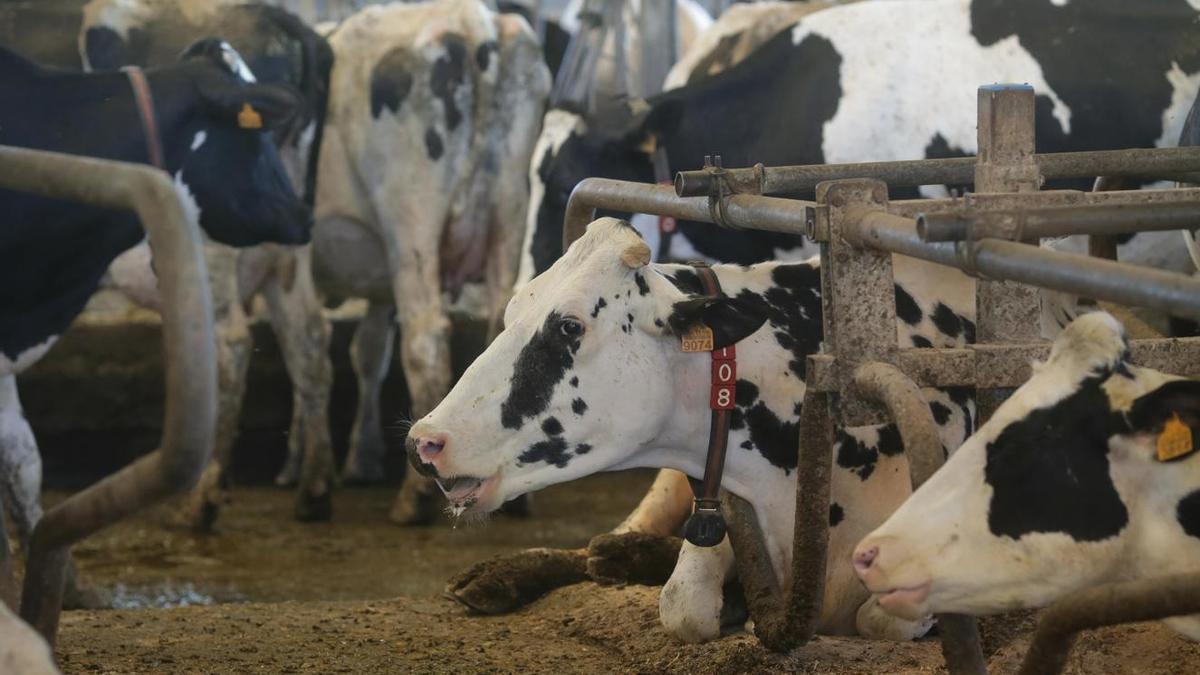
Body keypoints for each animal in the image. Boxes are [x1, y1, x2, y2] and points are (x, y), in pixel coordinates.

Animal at [79, 0, 339, 526]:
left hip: (215, 240)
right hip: (287, 249)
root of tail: (279, 17)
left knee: (231, 343)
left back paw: (203, 497)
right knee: (308, 339)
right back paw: (314, 490)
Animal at [405, 217, 982, 641]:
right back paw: (506, 573)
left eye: (570, 325)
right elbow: (682, 604)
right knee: (605, 541)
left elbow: (881, 618)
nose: (424, 442)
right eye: (512, 312)